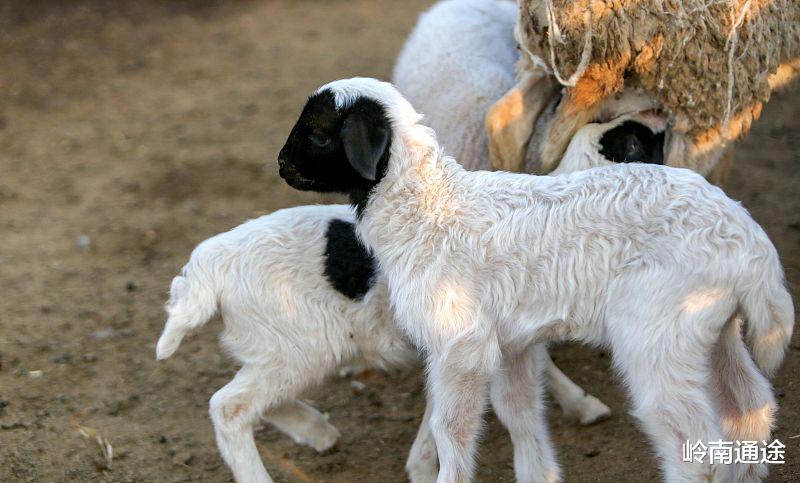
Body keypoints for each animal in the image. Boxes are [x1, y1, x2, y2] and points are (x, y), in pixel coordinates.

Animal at [276, 77, 792, 482]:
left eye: (319, 136)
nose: (281, 164)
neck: (427, 210)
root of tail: (753, 246)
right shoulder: (512, 343)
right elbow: (520, 414)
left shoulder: (461, 343)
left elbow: (452, 429)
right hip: (714, 328)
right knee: (751, 408)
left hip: (659, 333)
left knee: (695, 448)